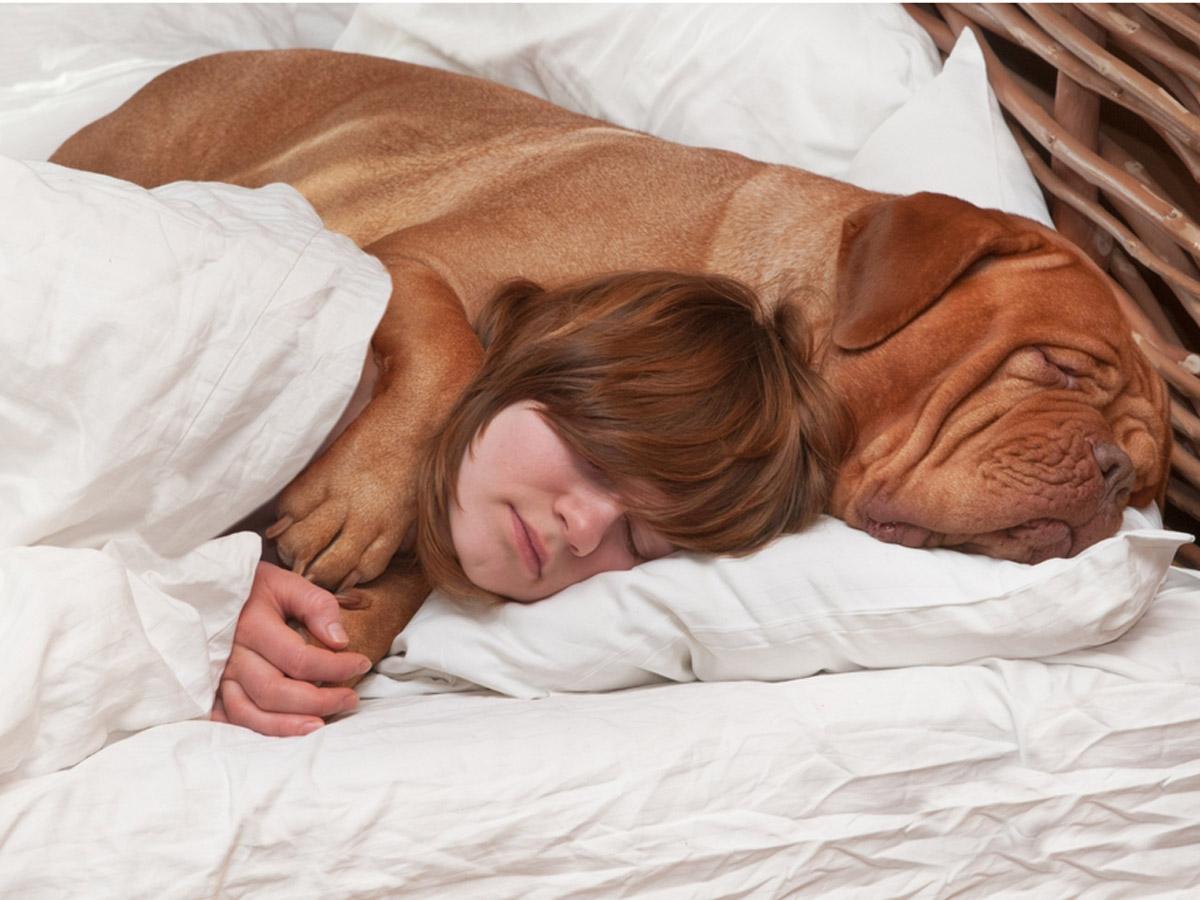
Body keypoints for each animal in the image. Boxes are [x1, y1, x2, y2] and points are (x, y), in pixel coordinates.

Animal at [51, 50, 1171, 668]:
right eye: (1058, 369)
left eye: (1153, 479)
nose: (1113, 474)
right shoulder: (405, 263)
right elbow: (449, 344)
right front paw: (361, 504)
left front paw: (347, 616)